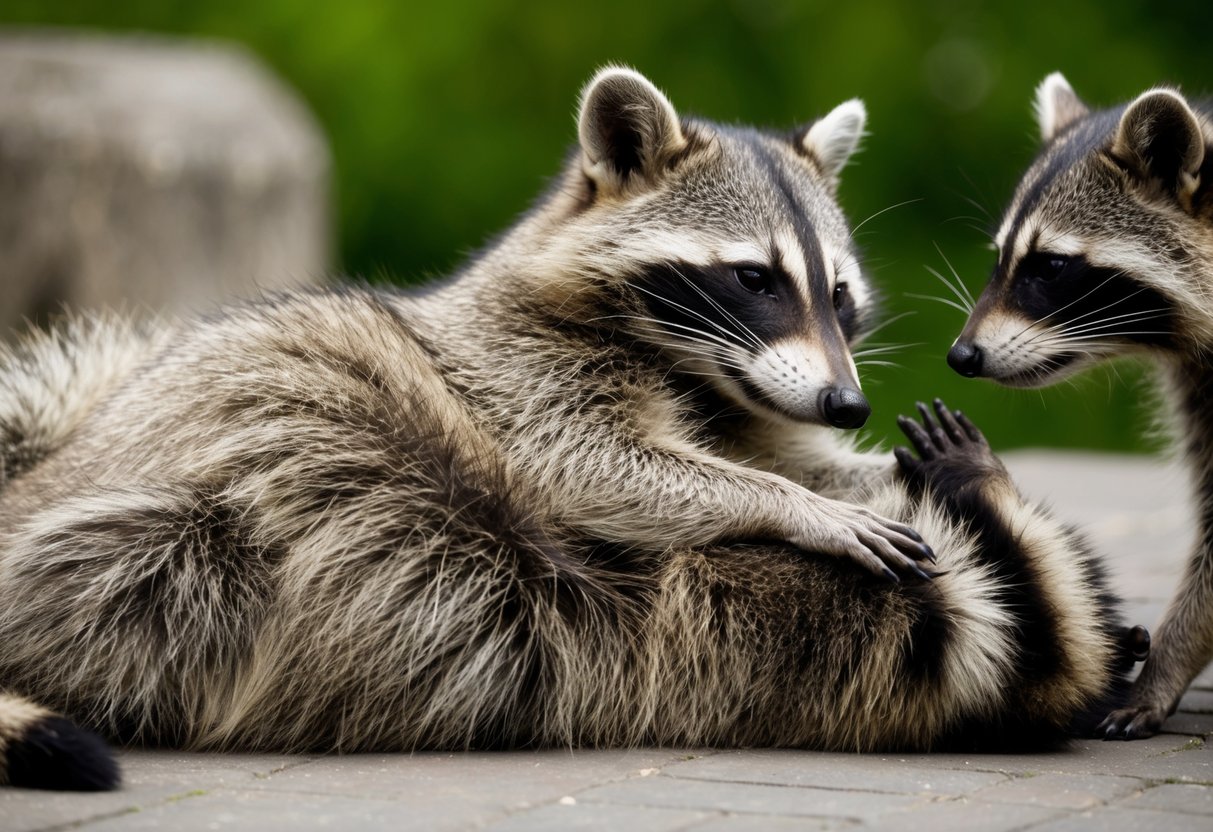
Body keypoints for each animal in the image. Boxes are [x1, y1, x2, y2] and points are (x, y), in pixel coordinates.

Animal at [0, 68, 1142, 790]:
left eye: (839, 295)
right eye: (755, 280)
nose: (846, 404)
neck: (692, 368)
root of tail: (42, 476)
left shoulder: (750, 401)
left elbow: (781, 450)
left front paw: (861, 475)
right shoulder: (517, 370)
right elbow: (593, 466)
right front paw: (794, 505)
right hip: (214, 471)